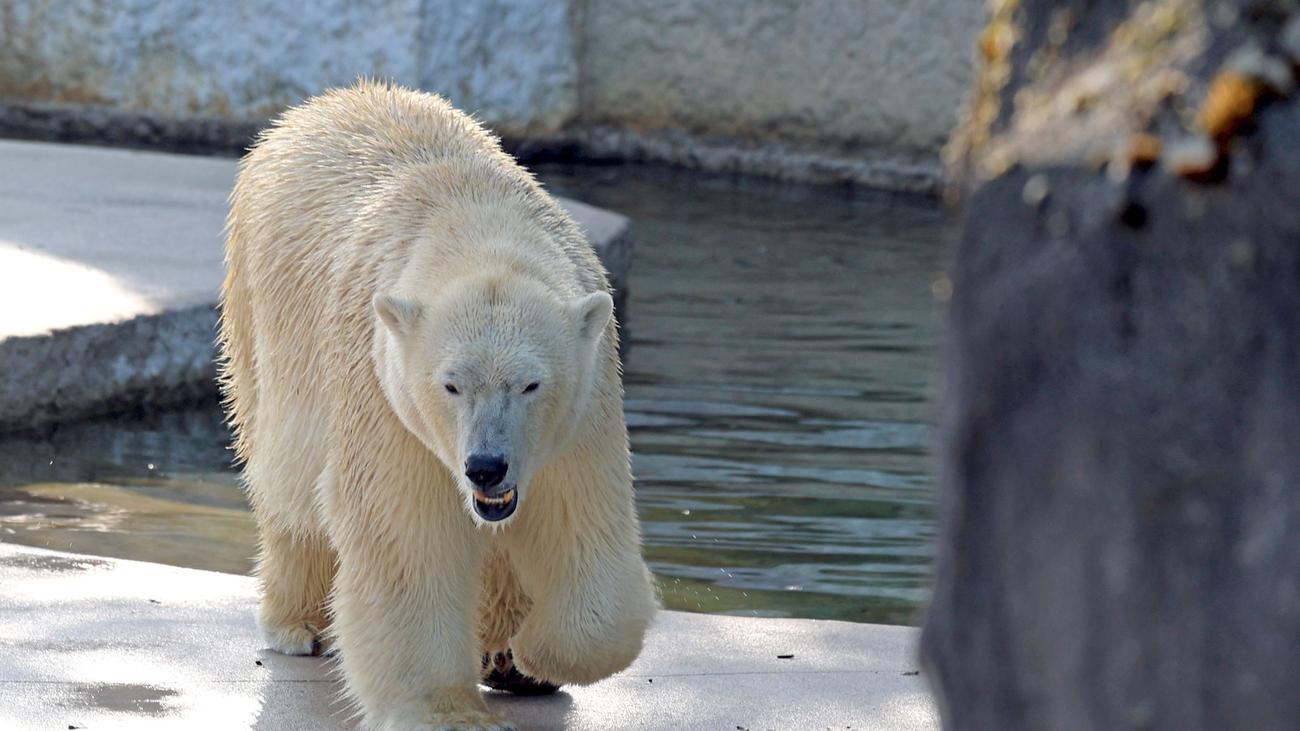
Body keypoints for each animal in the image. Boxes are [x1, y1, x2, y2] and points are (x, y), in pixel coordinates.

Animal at [219, 79, 660, 728]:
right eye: (450, 385)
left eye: (531, 385)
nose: (486, 467)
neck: (476, 219)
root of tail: (323, 103)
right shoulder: (385, 391)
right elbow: (406, 534)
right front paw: (446, 710)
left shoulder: (585, 406)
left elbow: (582, 524)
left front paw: (532, 653)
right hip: (260, 314)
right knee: (287, 482)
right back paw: (300, 623)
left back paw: (505, 656)